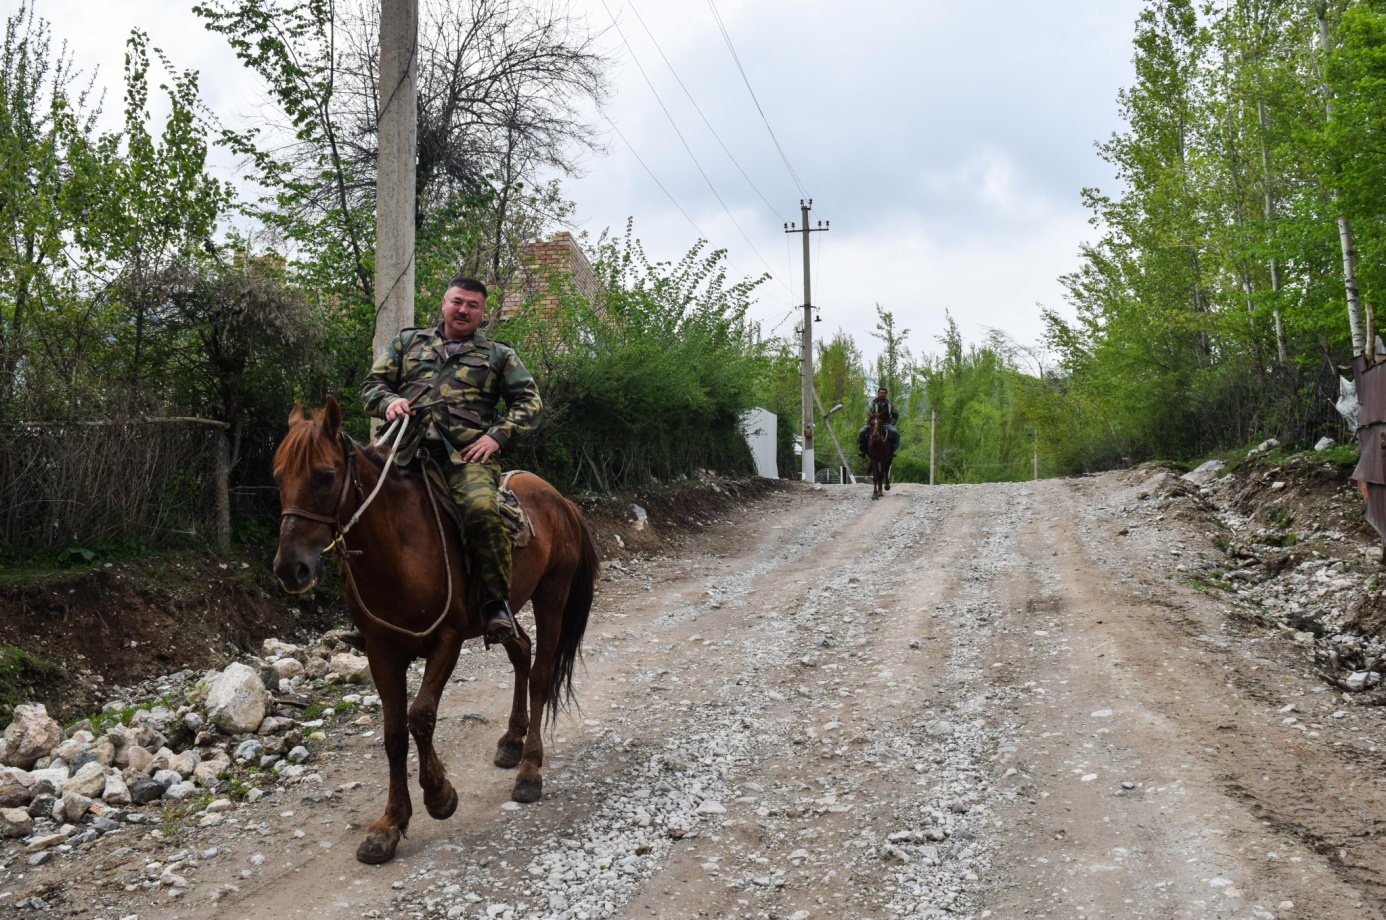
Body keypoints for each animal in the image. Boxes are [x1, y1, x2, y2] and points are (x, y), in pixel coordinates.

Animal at [268, 396, 595, 864]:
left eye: (325, 475)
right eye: (278, 476)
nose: (290, 569)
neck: (398, 549)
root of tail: (559, 499)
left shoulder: (448, 640)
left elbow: (421, 716)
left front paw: (439, 795)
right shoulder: (381, 652)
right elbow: (393, 734)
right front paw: (389, 825)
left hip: (552, 596)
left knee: (541, 674)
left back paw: (530, 771)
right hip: (505, 613)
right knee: (521, 650)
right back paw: (511, 742)